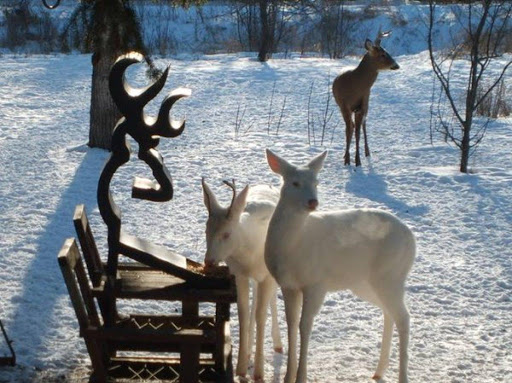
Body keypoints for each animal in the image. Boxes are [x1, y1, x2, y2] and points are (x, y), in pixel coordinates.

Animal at [202, 178, 284, 382]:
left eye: (226, 234)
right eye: (206, 230)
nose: (209, 261)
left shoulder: (267, 276)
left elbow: (261, 315)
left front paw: (259, 373)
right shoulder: (239, 274)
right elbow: (243, 312)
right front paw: (240, 368)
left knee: (271, 300)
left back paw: (278, 344)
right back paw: (248, 353)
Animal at [264, 151, 416, 383]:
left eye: (316, 182)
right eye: (295, 182)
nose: (313, 202)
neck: (295, 244)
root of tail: (412, 240)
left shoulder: (316, 283)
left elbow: (304, 326)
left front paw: (301, 377)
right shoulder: (288, 285)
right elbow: (291, 324)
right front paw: (288, 377)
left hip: (391, 275)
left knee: (404, 317)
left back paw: (401, 377)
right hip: (365, 283)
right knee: (388, 312)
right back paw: (378, 371)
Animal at [334, 29, 402, 167]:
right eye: (382, 54)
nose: (396, 65)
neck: (355, 86)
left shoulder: (362, 105)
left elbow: (358, 133)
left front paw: (357, 161)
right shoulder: (344, 106)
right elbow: (349, 131)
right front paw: (347, 159)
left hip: (366, 105)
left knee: (363, 126)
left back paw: (367, 152)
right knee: (352, 126)